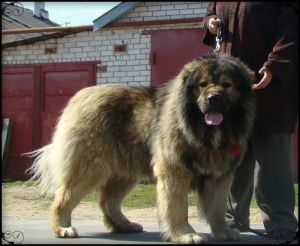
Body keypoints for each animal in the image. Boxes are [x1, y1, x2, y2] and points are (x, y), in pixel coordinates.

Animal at [27, 54, 255, 244]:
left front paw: (223, 231)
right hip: (89, 169)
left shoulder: (220, 176)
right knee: (64, 198)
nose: (213, 98)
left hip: (124, 171)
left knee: (108, 201)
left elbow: (217, 208)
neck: (203, 128)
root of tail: (79, 96)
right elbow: (177, 207)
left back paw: (124, 225)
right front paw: (185, 234)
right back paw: (63, 228)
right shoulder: (175, 171)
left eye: (227, 85)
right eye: (203, 85)